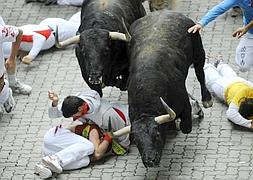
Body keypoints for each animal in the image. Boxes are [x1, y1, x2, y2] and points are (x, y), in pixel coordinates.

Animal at [126, 10, 213, 167]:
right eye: (136, 140)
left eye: (156, 135)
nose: (150, 160)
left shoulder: (183, 104)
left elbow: (185, 127)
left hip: (199, 52)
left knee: (200, 72)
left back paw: (207, 100)